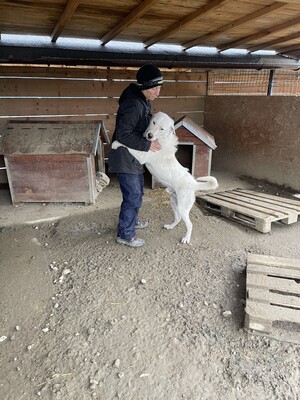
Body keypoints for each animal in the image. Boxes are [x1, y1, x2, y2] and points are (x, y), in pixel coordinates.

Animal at [111, 111, 219, 244]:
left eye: (161, 129)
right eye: (153, 122)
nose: (149, 135)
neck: (160, 138)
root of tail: (194, 183)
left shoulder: (142, 156)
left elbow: (129, 146)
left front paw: (116, 143)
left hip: (183, 207)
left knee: (190, 224)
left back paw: (186, 238)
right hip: (174, 202)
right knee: (178, 218)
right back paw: (170, 226)